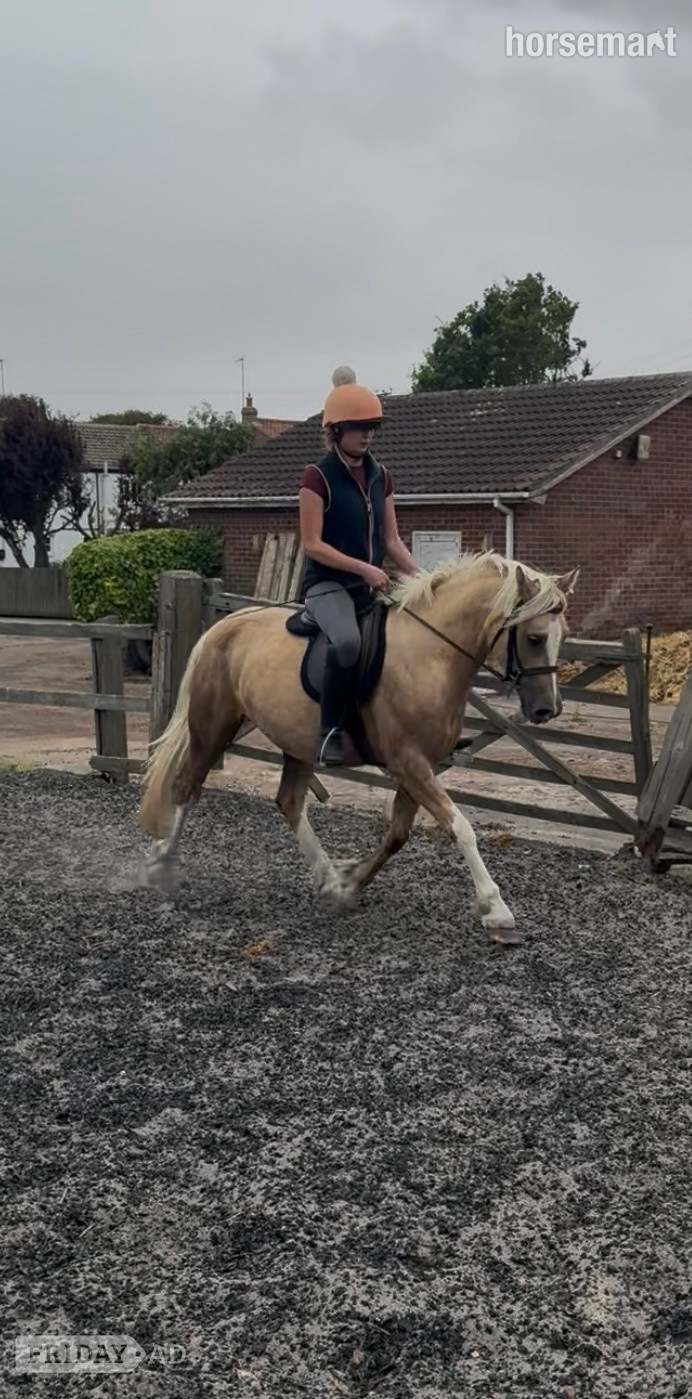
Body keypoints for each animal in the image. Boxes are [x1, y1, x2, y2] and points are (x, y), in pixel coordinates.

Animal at [137, 550, 579, 944]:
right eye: (535, 637)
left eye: (564, 636)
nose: (547, 709)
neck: (431, 655)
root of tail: (225, 625)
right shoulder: (409, 763)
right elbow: (461, 828)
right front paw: (497, 910)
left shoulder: (420, 767)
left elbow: (398, 835)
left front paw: (349, 882)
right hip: (213, 729)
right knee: (187, 789)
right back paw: (161, 864)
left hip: (296, 743)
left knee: (289, 802)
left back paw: (328, 878)